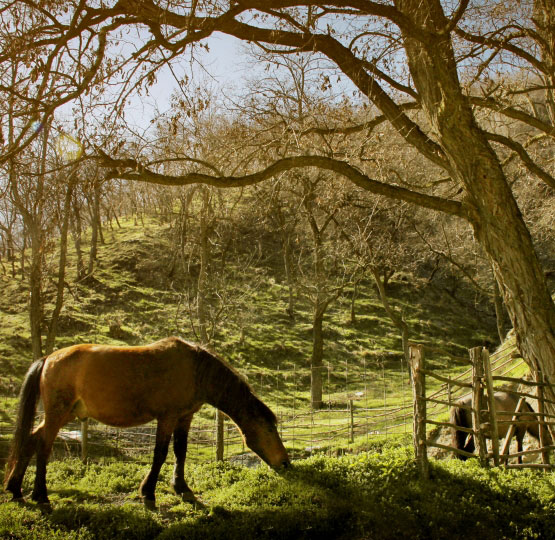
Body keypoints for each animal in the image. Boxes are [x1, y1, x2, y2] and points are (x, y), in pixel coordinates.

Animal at [3, 336, 292, 508]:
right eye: (269, 429)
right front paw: (148, 492)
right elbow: (160, 454)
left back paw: (16, 488)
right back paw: (40, 494)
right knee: (43, 446)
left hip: (66, 414)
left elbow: (180, 452)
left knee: (30, 441)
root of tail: (47, 359)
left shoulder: (185, 417)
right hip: (57, 413)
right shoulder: (167, 417)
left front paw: (182, 488)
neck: (195, 370)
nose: (285, 463)